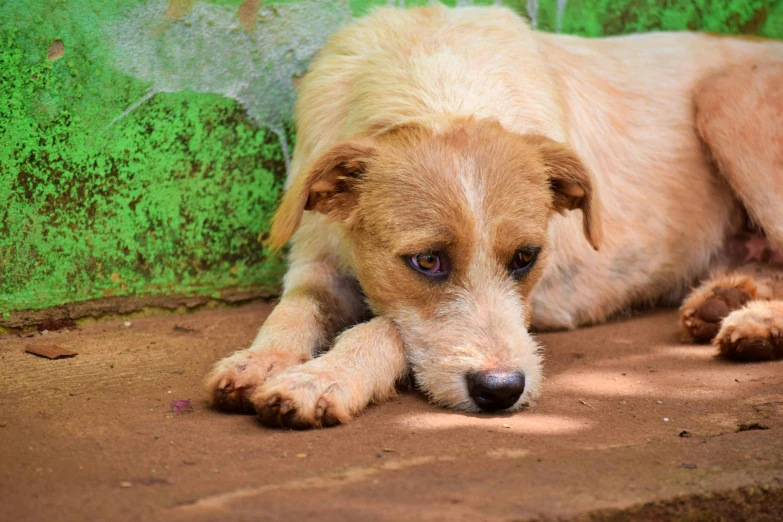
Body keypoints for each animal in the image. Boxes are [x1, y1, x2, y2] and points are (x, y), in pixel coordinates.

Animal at [204, 3, 783, 426]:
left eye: (526, 257)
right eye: (427, 262)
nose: (500, 391)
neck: (438, 86)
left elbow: (385, 327)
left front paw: (320, 379)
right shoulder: (317, 258)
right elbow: (294, 309)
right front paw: (260, 361)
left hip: (727, 98)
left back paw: (758, 322)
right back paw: (725, 298)